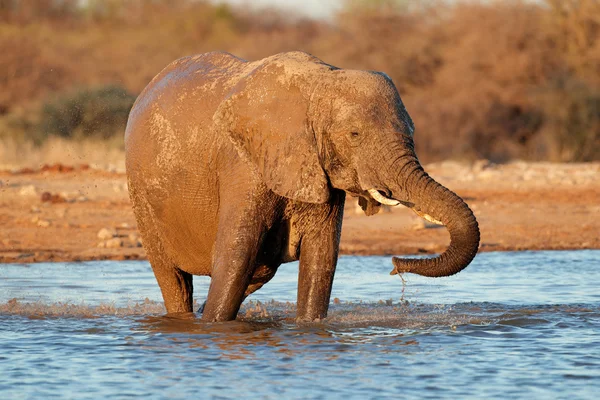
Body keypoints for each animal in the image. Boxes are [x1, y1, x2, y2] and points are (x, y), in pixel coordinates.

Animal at [124, 51, 480, 324]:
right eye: (354, 134)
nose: (394, 265)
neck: (320, 83)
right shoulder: (244, 164)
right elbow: (236, 257)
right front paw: (214, 325)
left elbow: (321, 260)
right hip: (141, 194)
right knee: (175, 279)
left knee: (256, 274)